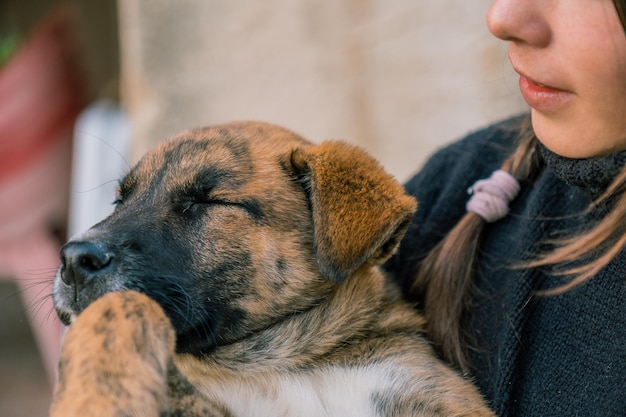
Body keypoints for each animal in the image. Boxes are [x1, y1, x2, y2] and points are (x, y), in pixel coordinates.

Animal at [48, 121, 492, 416]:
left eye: (207, 201)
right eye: (119, 201)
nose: (72, 260)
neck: (283, 361)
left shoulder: (428, 395)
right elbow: (119, 311)